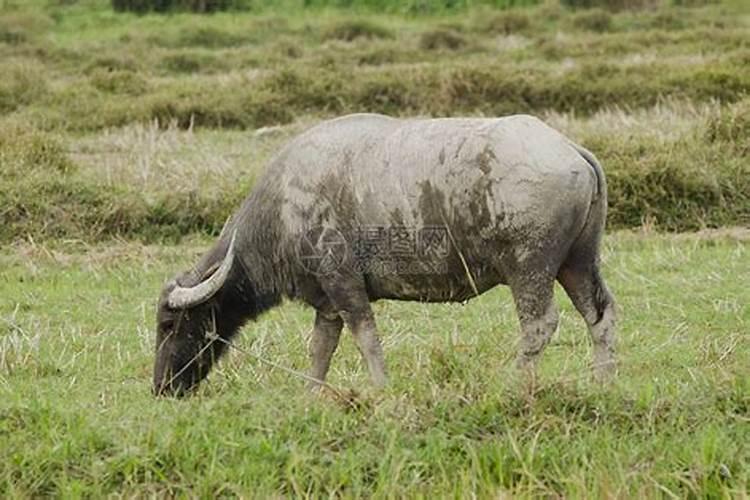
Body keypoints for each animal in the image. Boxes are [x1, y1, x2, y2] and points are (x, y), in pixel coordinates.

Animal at [151, 114, 616, 398]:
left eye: (169, 324)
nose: (161, 388)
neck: (281, 208)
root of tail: (570, 150)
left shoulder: (344, 283)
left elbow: (366, 338)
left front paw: (379, 388)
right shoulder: (327, 302)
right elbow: (320, 349)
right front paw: (312, 394)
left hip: (530, 267)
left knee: (539, 325)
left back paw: (513, 384)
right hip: (577, 263)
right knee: (600, 314)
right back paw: (603, 382)